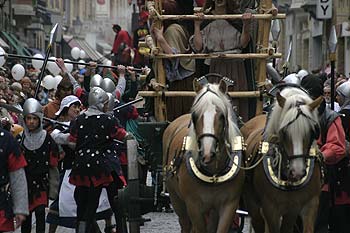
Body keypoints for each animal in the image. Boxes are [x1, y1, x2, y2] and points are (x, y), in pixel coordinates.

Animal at [163, 78, 245, 233]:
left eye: (222, 116)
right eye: (195, 116)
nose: (207, 154)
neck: (213, 173)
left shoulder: (229, 205)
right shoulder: (193, 206)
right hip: (176, 200)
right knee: (185, 224)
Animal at [242, 87, 324, 233]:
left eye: (312, 131)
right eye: (284, 132)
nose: (297, 172)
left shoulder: (309, 204)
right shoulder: (270, 209)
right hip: (251, 202)